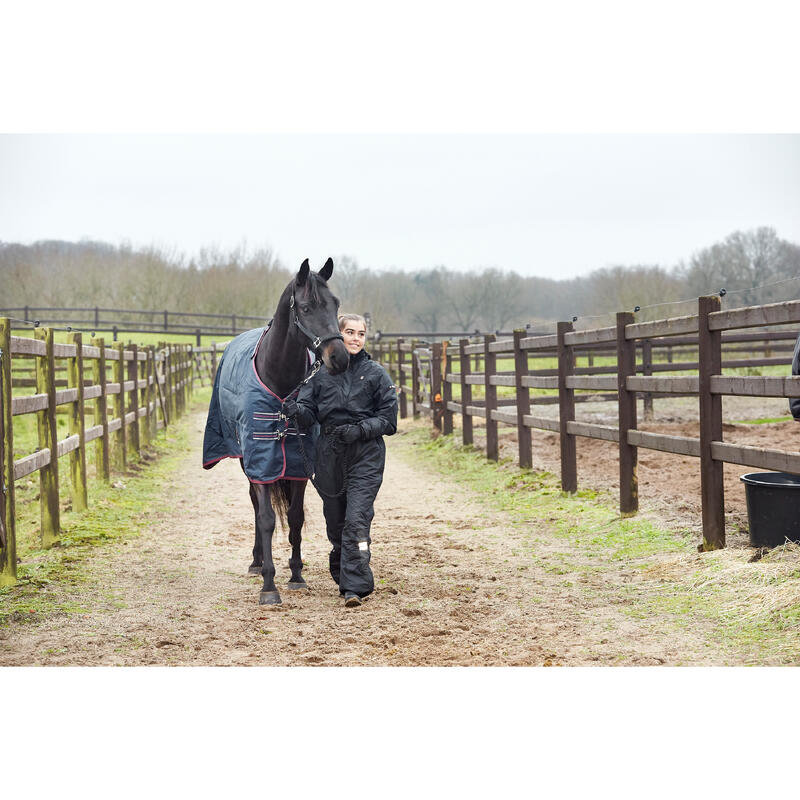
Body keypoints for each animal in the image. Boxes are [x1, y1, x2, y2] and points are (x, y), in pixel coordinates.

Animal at [202, 260, 348, 604]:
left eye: (335, 304)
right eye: (306, 308)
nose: (340, 357)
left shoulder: (298, 464)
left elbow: (295, 517)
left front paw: (296, 575)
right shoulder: (261, 462)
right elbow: (267, 518)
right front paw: (269, 585)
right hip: (246, 462)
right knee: (256, 507)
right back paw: (257, 562)